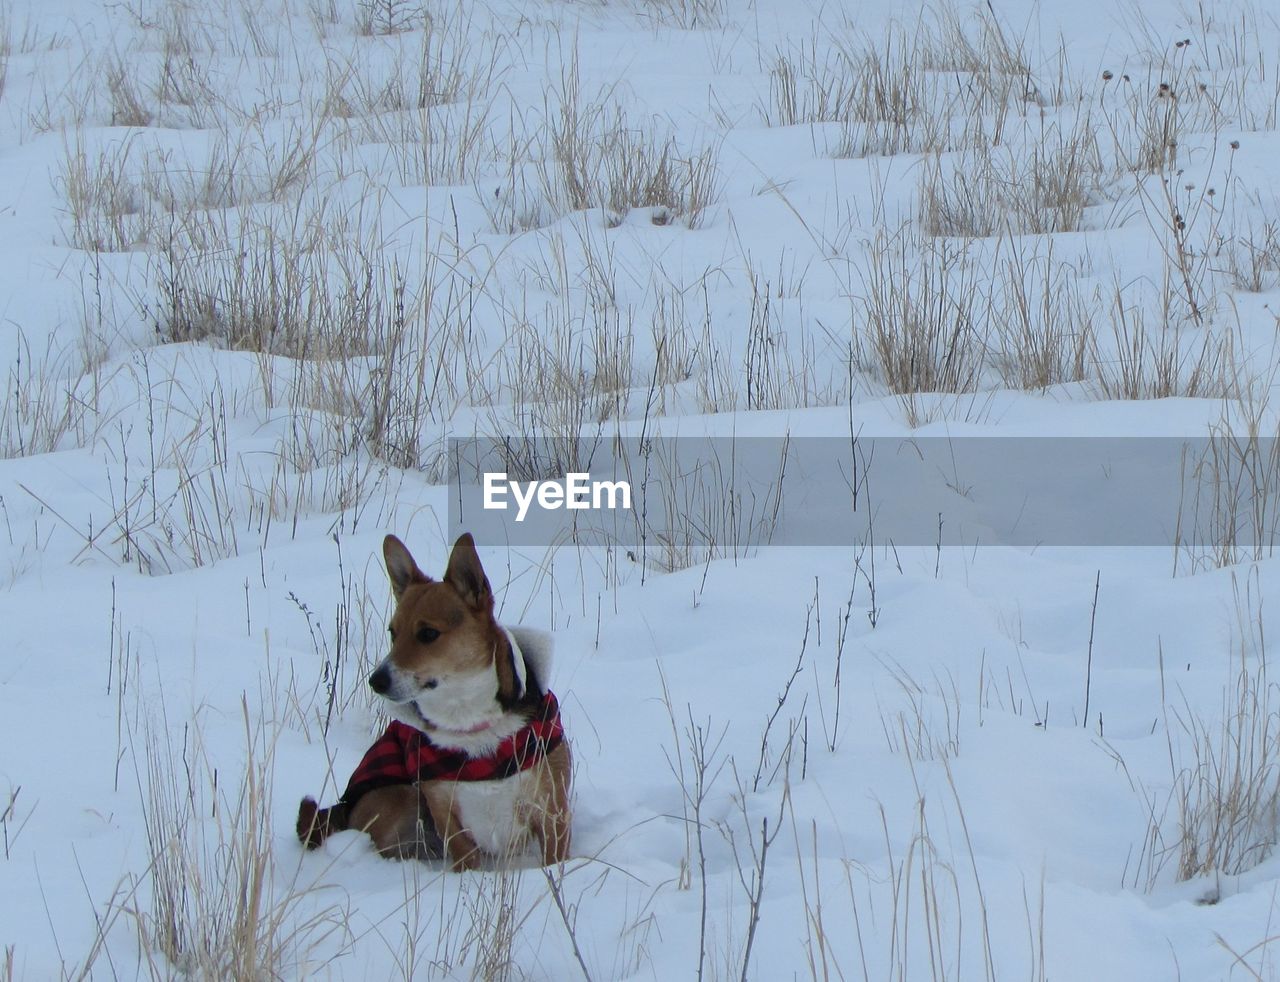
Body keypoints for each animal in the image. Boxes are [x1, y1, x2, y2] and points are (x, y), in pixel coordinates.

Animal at [299, 532, 570, 870]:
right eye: (393, 632)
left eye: (428, 633)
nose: (376, 681)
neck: (468, 719)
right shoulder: (444, 810)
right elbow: (464, 856)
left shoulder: (551, 808)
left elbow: (555, 859)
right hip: (402, 798)